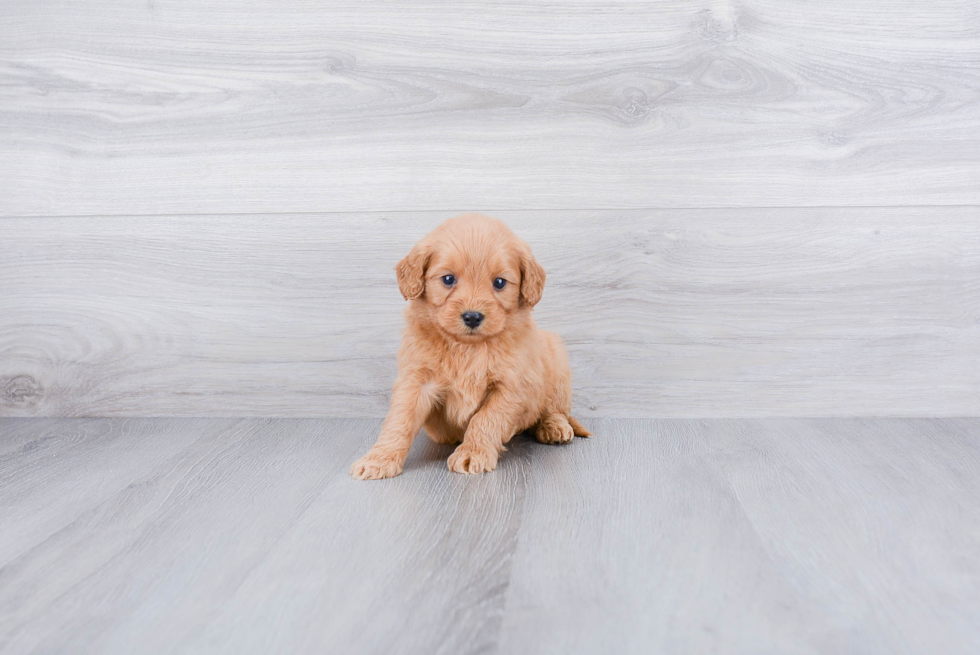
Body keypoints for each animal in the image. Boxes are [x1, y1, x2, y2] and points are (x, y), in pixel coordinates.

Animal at [350, 213, 588, 480]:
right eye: (448, 279)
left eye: (499, 282)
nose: (472, 317)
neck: (467, 347)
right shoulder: (416, 380)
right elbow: (400, 419)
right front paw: (379, 459)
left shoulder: (511, 386)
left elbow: (486, 418)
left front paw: (472, 453)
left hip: (557, 362)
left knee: (555, 409)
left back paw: (554, 427)